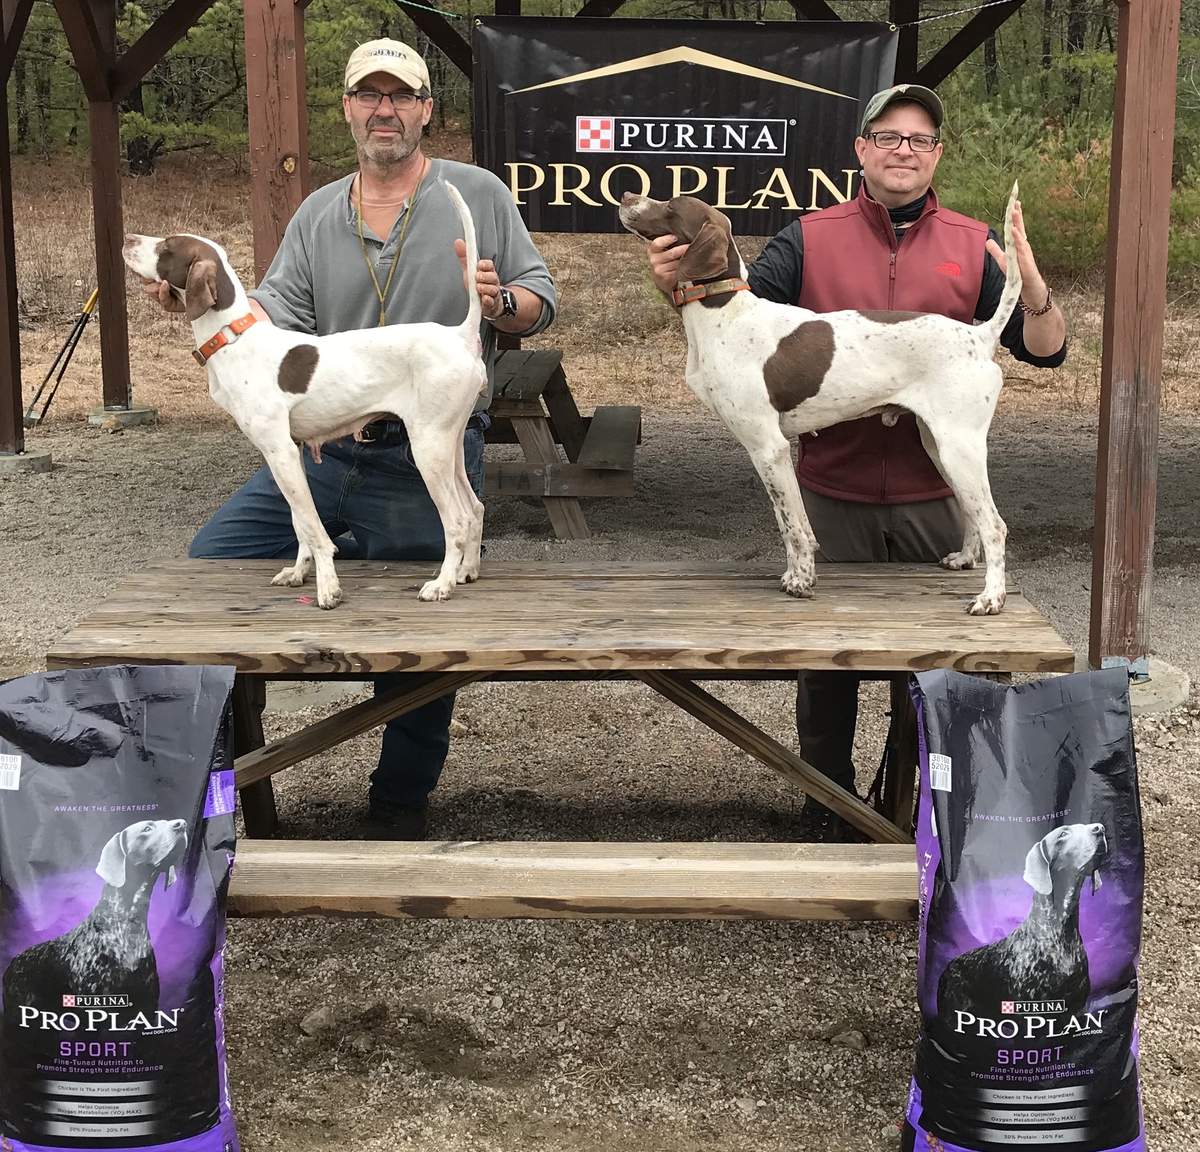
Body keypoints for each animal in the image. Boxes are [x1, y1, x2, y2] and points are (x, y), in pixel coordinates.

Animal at [125, 178, 487, 607]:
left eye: (166, 247)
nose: (127, 237)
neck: (233, 337)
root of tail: (460, 334)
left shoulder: (278, 450)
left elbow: (315, 531)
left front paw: (327, 587)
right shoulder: (288, 453)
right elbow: (300, 523)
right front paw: (299, 572)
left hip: (428, 448)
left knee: (457, 520)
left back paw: (442, 583)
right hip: (449, 446)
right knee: (476, 508)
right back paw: (466, 571)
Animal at [619, 182, 1022, 612]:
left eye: (671, 207)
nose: (626, 196)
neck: (723, 311)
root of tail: (979, 335)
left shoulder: (768, 448)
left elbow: (792, 526)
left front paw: (800, 580)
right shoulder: (771, 451)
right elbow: (792, 523)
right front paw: (798, 575)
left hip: (959, 447)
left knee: (994, 524)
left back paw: (991, 598)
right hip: (940, 447)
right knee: (971, 512)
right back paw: (964, 559)